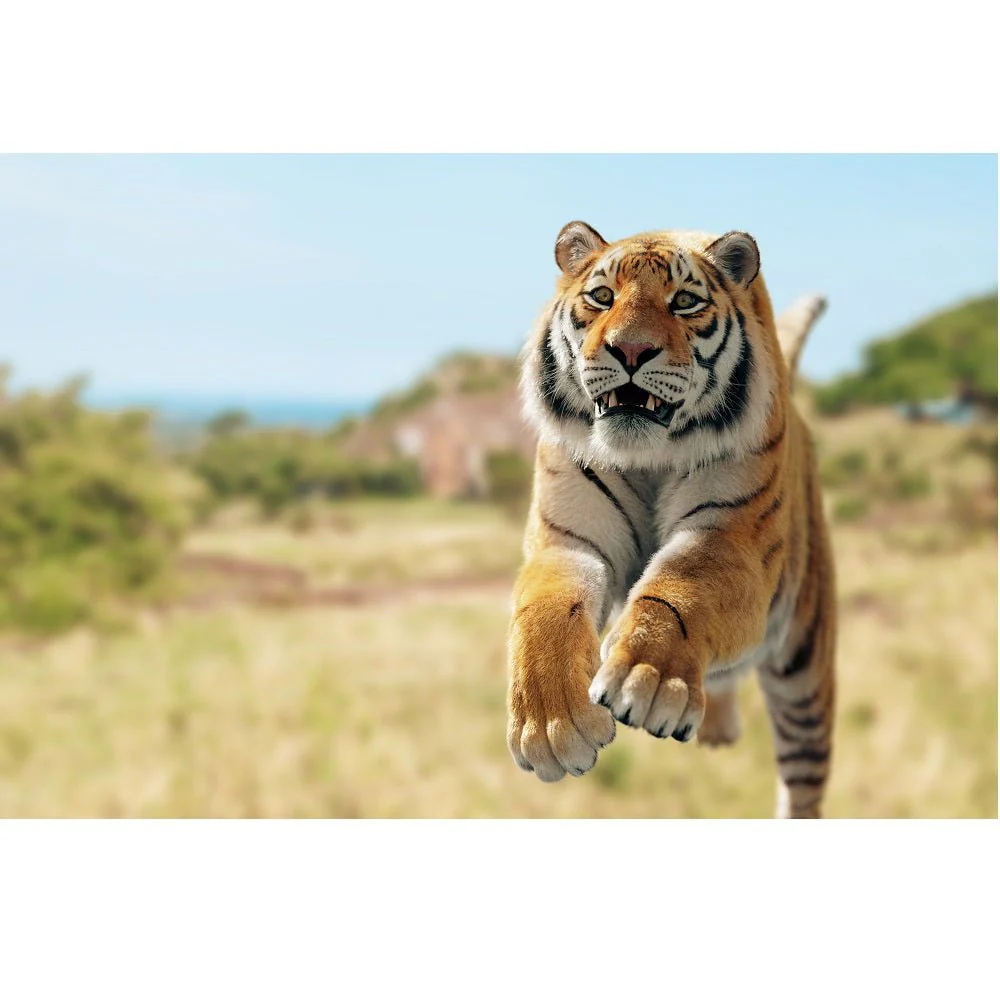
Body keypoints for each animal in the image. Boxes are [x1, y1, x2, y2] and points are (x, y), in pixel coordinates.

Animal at [506, 221, 836, 819]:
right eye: (602, 297)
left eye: (684, 302)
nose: (631, 349)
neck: (649, 457)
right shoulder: (568, 540)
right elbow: (546, 612)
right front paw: (551, 726)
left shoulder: (728, 537)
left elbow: (680, 590)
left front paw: (650, 679)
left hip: (805, 669)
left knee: (804, 780)